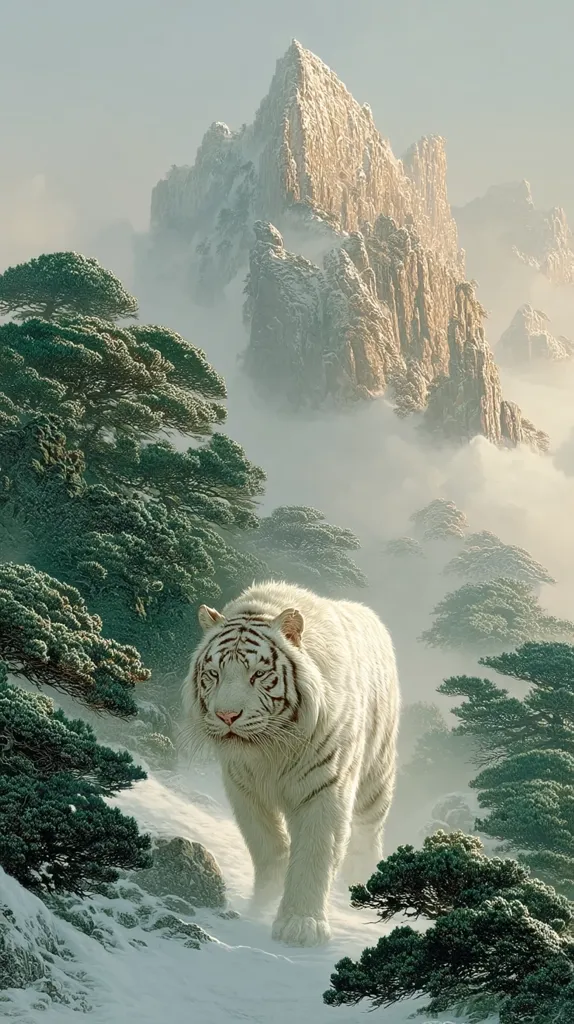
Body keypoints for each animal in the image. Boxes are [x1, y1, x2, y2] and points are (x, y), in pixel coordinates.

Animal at [181, 580, 400, 948]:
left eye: (258, 674)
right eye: (213, 673)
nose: (227, 716)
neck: (271, 750)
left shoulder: (327, 788)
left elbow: (315, 854)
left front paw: (301, 926)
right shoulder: (242, 787)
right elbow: (267, 845)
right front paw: (262, 904)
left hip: (377, 780)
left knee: (368, 835)